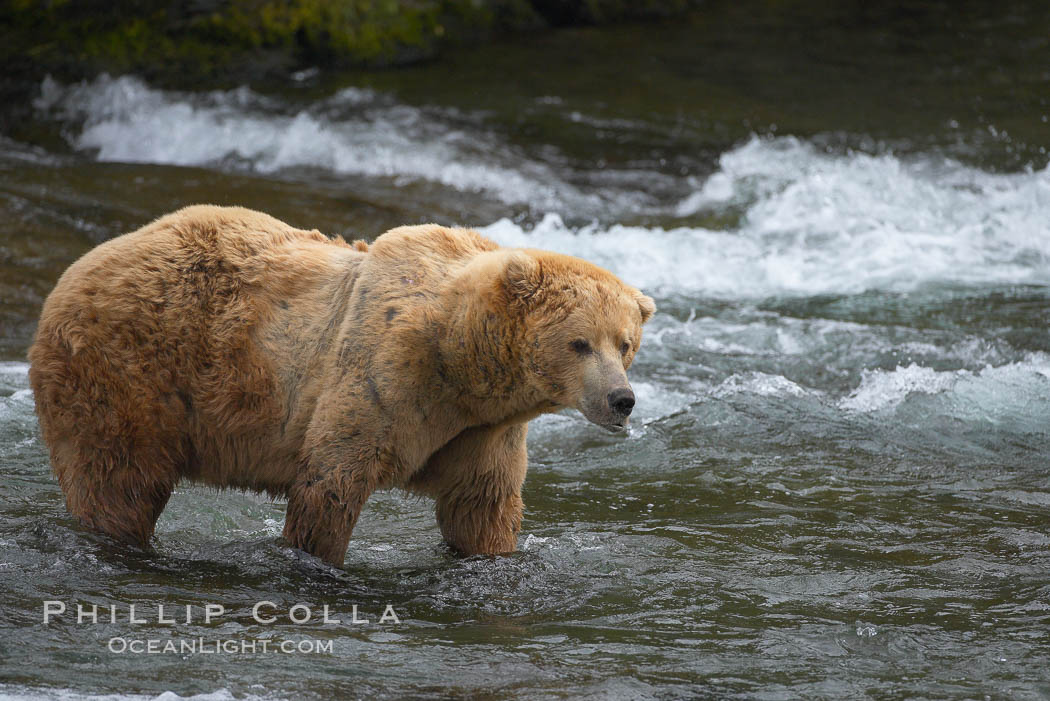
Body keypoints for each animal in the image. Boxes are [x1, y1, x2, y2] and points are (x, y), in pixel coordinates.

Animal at [28, 203, 651, 562]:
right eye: (580, 342)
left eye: (625, 343)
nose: (620, 399)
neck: (459, 361)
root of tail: (79, 268)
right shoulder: (384, 379)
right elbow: (330, 485)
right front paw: (318, 557)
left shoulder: (482, 431)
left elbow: (481, 507)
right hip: (129, 371)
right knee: (117, 481)